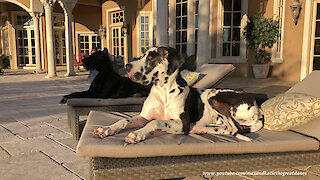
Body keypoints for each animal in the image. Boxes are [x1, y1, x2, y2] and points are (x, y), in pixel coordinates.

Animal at [92, 46, 262, 143]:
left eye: (150, 57)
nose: (127, 66)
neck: (163, 91)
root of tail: (258, 108)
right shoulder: (143, 117)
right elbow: (124, 121)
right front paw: (106, 129)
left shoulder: (182, 123)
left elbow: (155, 122)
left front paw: (137, 134)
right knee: (228, 128)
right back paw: (200, 129)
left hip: (213, 96)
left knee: (232, 128)